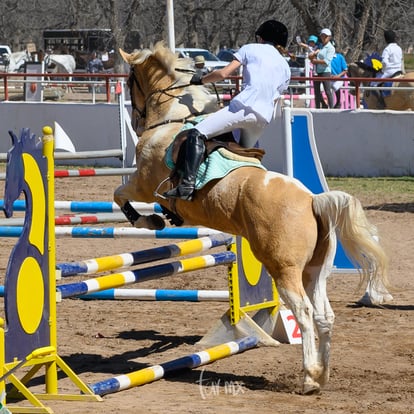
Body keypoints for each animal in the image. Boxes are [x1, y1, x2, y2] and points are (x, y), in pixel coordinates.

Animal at [114, 42, 392, 394]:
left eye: (130, 81)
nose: (137, 122)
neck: (171, 120)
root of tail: (312, 200)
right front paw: (162, 219)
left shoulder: (144, 184)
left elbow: (119, 193)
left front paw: (150, 221)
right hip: (314, 271)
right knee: (324, 315)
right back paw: (323, 374)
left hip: (285, 270)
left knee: (304, 313)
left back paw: (308, 378)